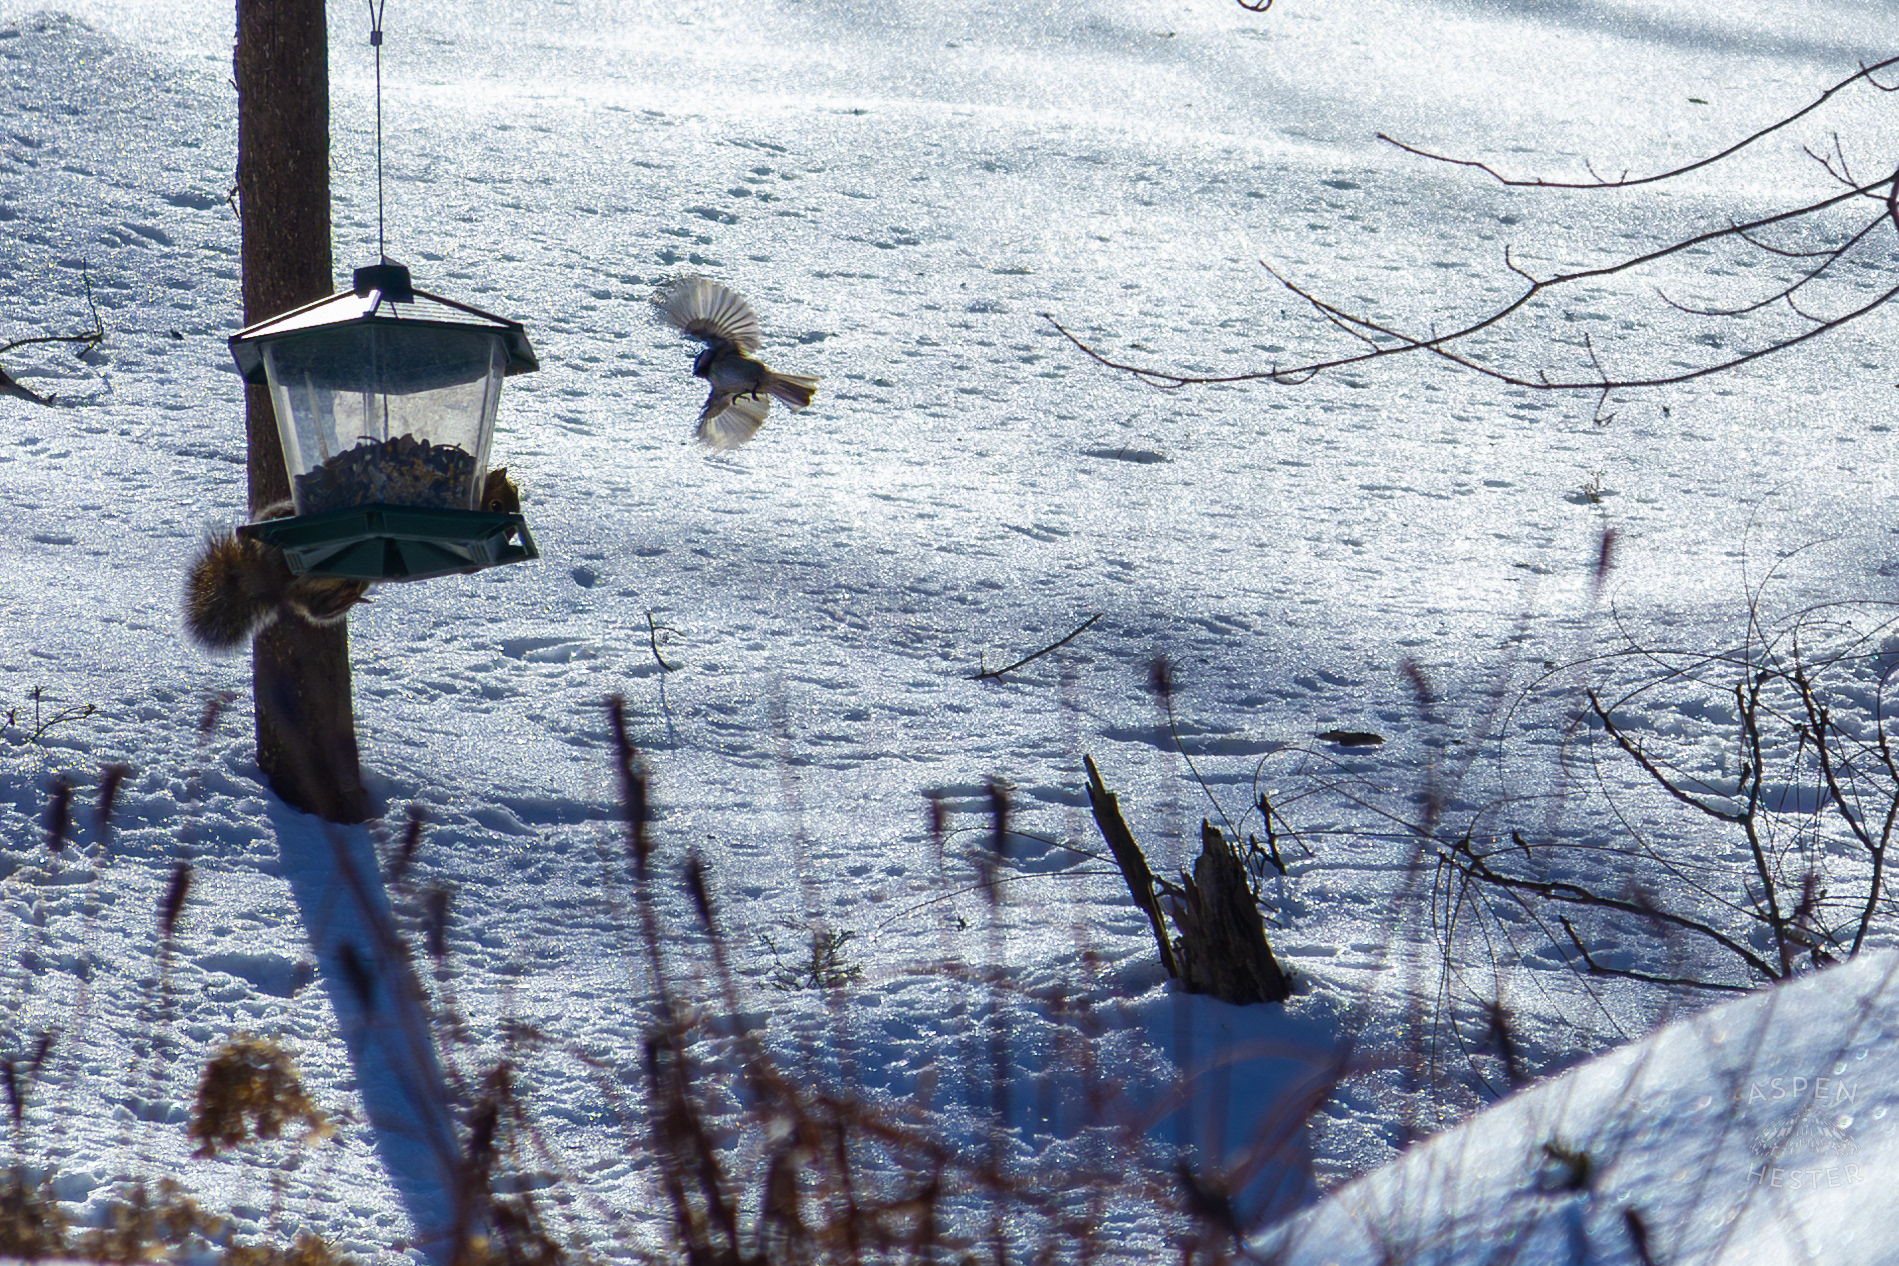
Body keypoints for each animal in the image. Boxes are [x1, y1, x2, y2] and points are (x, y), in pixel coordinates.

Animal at [183, 467, 520, 652]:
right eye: (496, 504)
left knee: (316, 609)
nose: (511, 532)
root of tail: (263, 577)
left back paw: (347, 600)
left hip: (345, 581)